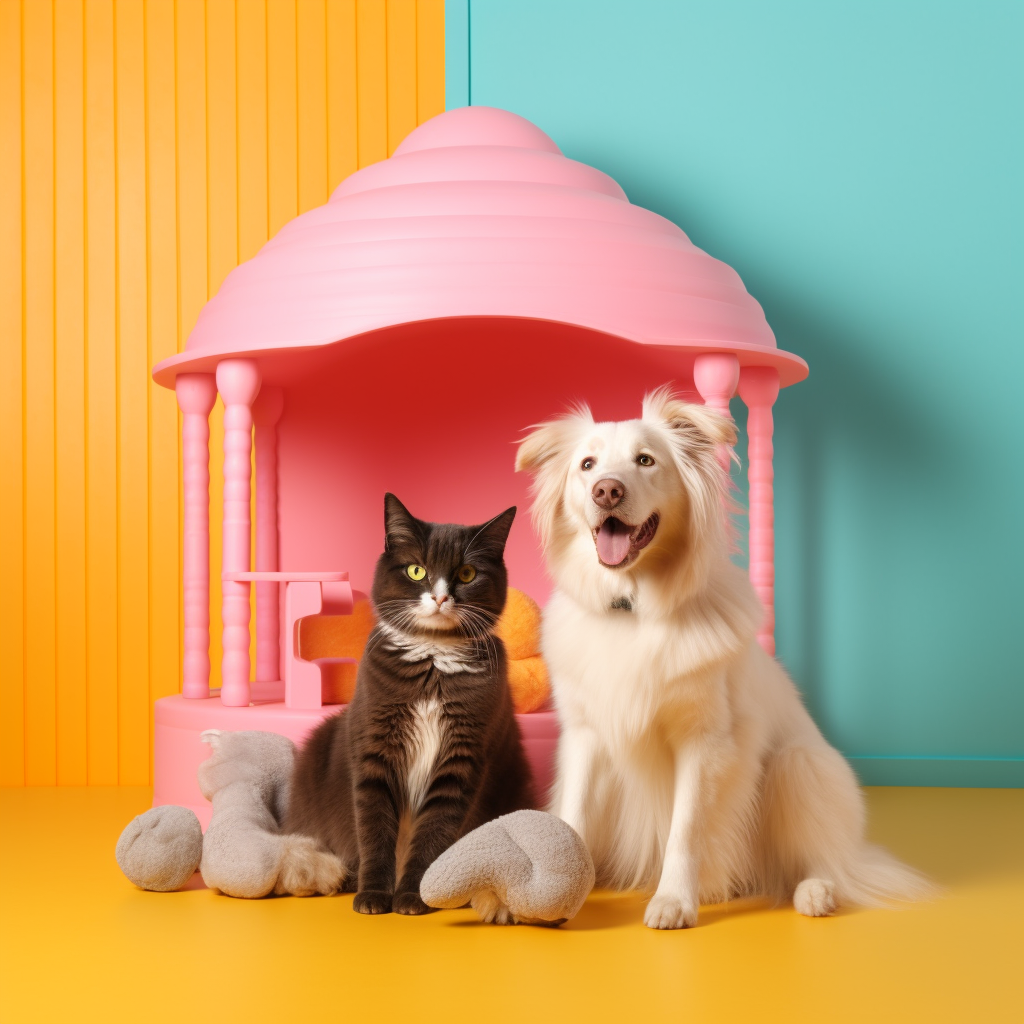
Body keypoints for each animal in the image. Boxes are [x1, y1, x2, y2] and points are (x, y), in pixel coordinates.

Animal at [284, 491, 532, 917]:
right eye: (417, 571)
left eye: (467, 574)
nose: (440, 597)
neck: (433, 659)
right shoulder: (374, 746)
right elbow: (374, 825)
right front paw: (373, 895)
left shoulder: (463, 756)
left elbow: (436, 828)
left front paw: (414, 896)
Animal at [520, 387, 929, 933]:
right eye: (587, 465)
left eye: (645, 460)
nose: (606, 490)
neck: (634, 608)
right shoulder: (586, 738)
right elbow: (574, 816)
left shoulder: (706, 742)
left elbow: (685, 829)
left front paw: (674, 901)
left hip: (797, 766)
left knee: (826, 863)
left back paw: (815, 892)